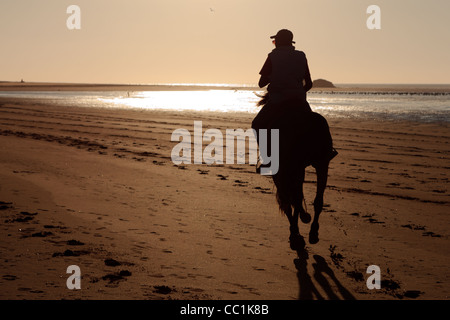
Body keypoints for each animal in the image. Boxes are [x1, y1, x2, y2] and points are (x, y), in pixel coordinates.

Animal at [255, 94, 336, 251]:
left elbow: (295, 198)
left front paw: (302, 228)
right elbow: (295, 198)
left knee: (292, 198)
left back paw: (300, 229)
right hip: (303, 166)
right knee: (297, 198)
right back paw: (304, 231)